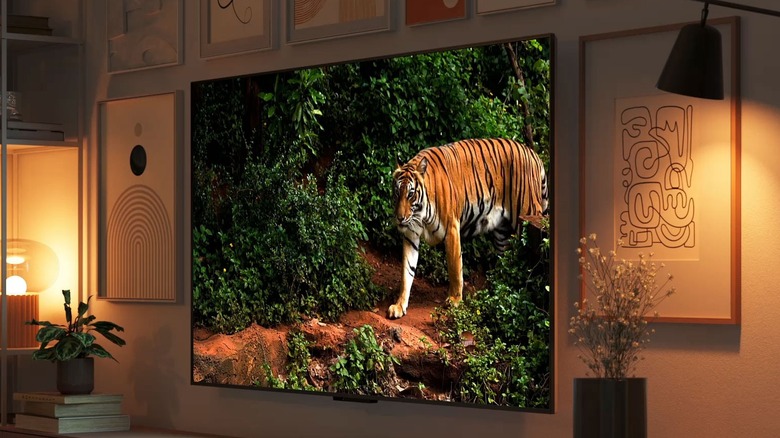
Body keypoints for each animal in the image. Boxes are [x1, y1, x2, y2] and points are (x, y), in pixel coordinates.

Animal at [388, 138, 548, 319]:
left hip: (526, 219)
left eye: (410, 194)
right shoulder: (411, 234)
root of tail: (533, 154)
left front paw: (454, 300)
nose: (400, 218)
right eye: (397, 192)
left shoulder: (451, 229)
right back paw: (496, 293)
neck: (419, 214)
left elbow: (455, 269)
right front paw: (399, 305)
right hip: (502, 233)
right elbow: (407, 272)